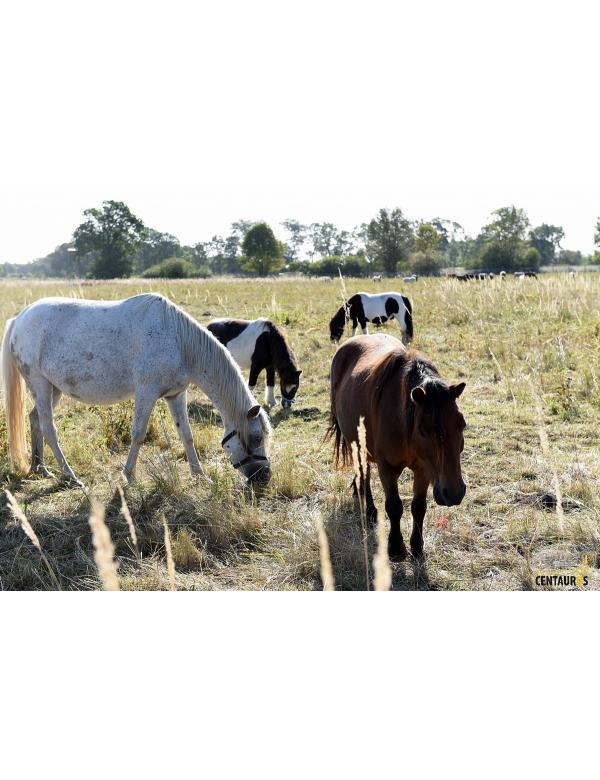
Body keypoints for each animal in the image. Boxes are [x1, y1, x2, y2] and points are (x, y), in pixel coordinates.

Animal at [1, 294, 272, 484]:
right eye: (257, 437)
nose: (264, 477)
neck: (178, 341)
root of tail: (19, 319)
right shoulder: (146, 392)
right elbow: (138, 434)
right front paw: (127, 476)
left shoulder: (175, 395)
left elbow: (186, 434)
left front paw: (199, 475)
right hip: (40, 385)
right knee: (49, 428)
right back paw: (70, 476)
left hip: (52, 388)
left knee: (34, 420)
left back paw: (40, 468)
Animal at [330, 336, 466, 560]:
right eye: (423, 431)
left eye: (462, 425)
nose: (453, 493)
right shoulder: (387, 467)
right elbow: (394, 507)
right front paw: (395, 548)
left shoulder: (424, 468)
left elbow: (418, 507)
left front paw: (417, 546)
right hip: (356, 444)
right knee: (363, 474)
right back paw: (369, 511)